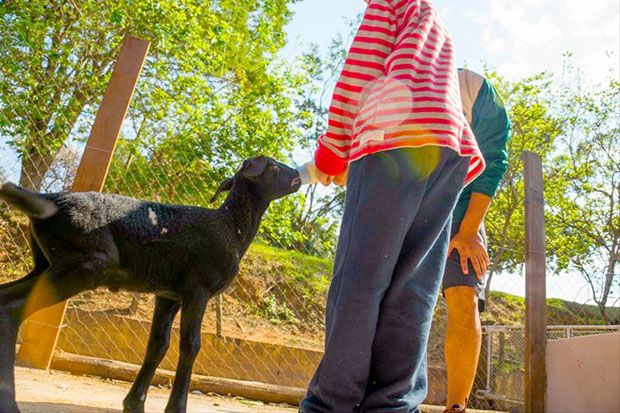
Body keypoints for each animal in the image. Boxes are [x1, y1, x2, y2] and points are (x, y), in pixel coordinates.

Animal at [0, 155, 302, 412]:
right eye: (273, 167)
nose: (298, 176)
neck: (230, 227)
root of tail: (46, 199)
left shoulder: (168, 295)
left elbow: (157, 344)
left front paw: (134, 403)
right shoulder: (198, 289)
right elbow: (190, 345)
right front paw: (176, 407)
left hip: (47, 263)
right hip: (86, 265)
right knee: (12, 309)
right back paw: (10, 402)